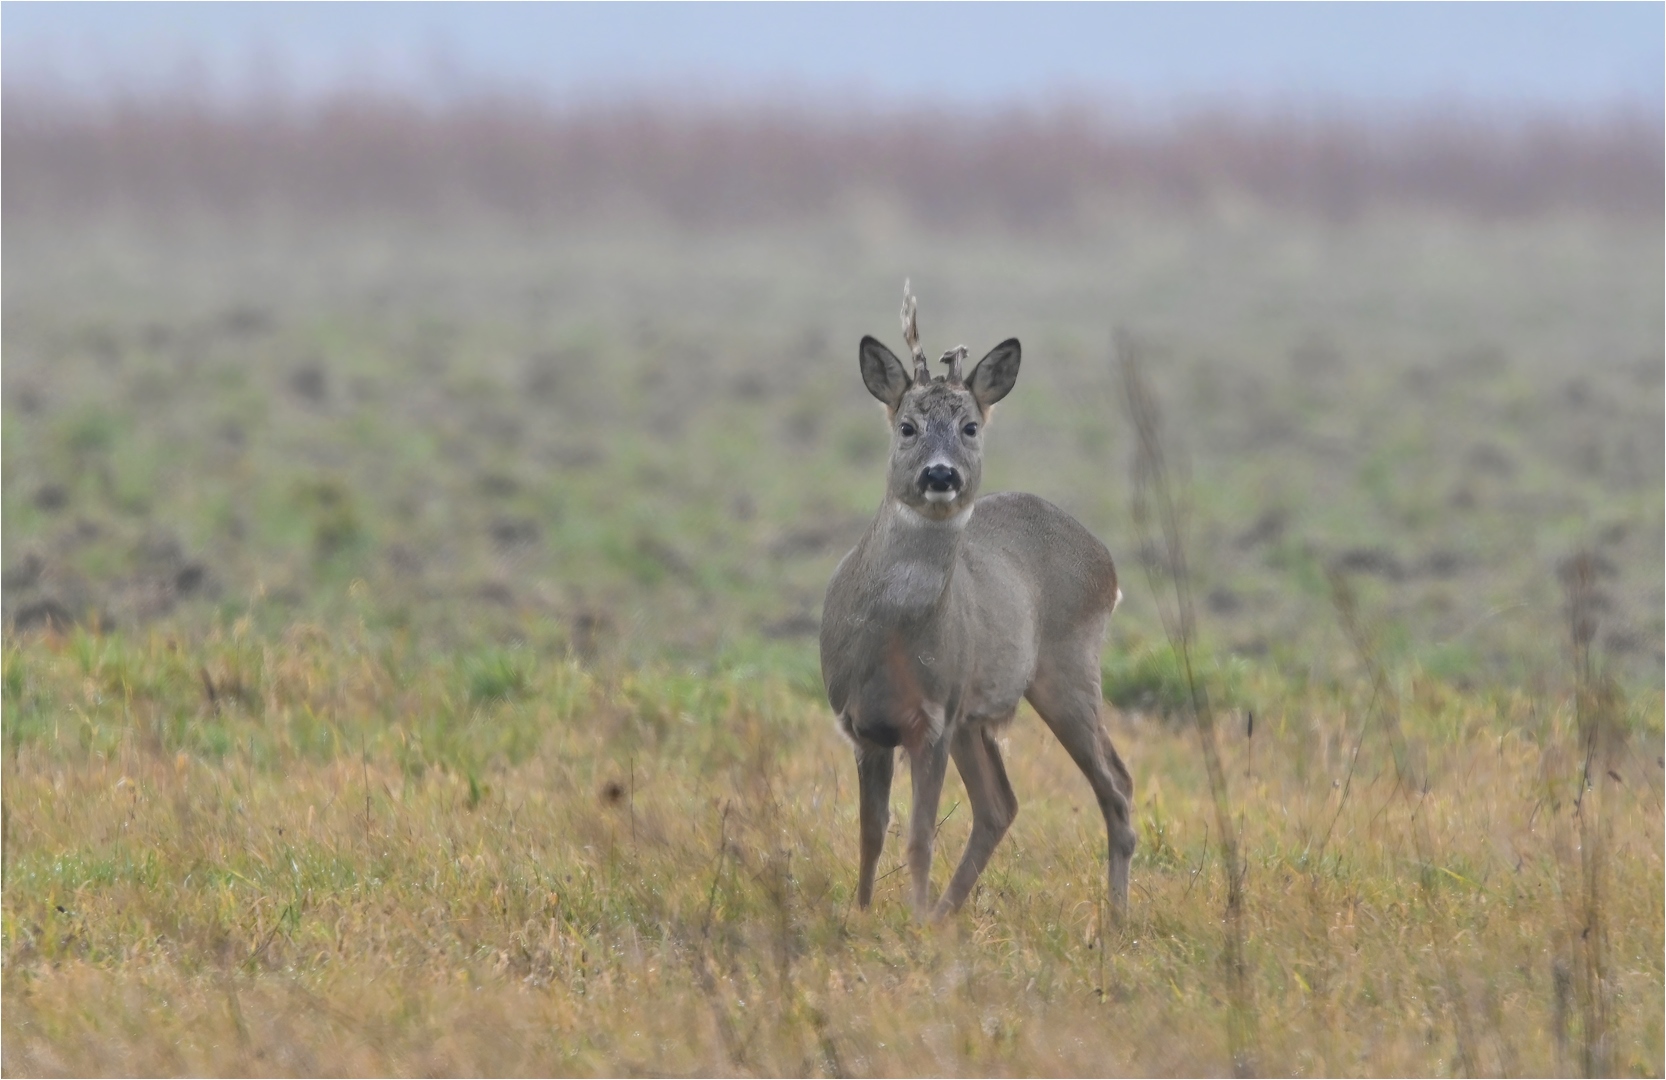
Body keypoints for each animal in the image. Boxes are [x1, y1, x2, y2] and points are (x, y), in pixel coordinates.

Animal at [816, 285, 1132, 920]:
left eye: (968, 426)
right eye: (907, 426)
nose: (940, 475)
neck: (888, 642)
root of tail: (1106, 565)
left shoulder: (935, 716)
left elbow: (918, 834)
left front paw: (909, 919)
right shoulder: (862, 725)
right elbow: (871, 831)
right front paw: (862, 914)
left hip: (1066, 670)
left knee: (1115, 783)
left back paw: (1114, 917)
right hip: (980, 716)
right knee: (1000, 803)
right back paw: (947, 915)